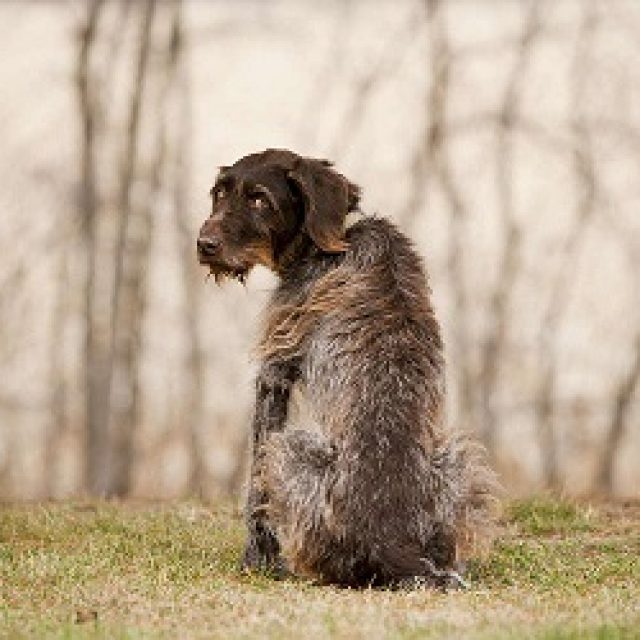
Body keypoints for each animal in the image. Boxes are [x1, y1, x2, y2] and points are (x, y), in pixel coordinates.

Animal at [197, 148, 495, 587]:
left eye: (259, 199)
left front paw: (257, 561)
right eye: (220, 193)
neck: (331, 242)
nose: (204, 244)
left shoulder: (273, 375)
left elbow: (254, 493)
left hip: (290, 449)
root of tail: (394, 547)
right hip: (460, 460)